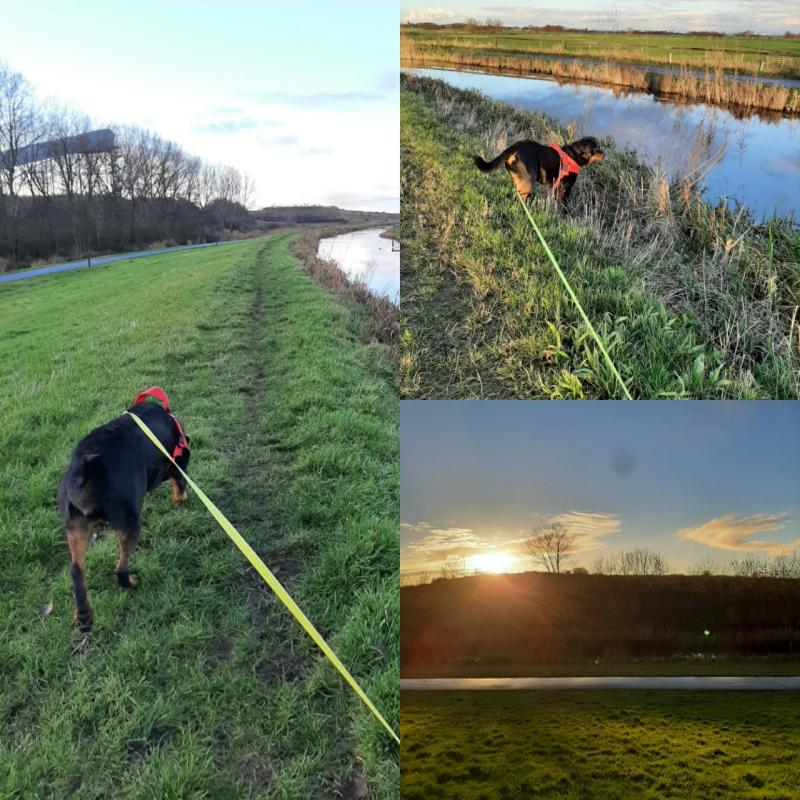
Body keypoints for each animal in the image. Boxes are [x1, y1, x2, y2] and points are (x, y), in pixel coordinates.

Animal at [58, 390, 190, 636]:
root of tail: (85, 472)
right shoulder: (177, 466)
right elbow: (179, 485)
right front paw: (180, 499)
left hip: (75, 527)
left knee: (76, 571)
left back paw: (83, 616)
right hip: (129, 522)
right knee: (120, 569)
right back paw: (133, 582)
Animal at [472, 135, 604, 205]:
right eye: (596, 148)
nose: (604, 154)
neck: (574, 156)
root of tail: (515, 146)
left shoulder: (556, 188)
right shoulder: (565, 189)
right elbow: (565, 207)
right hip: (528, 181)